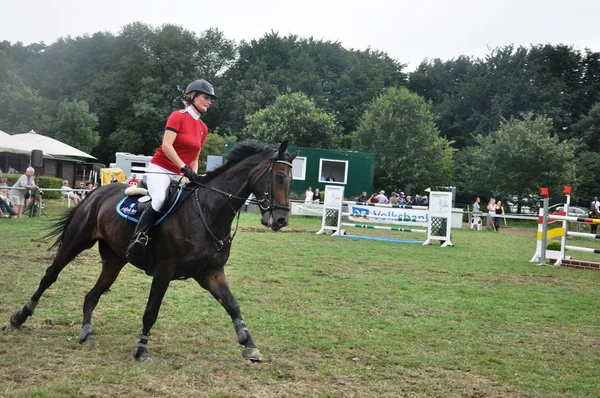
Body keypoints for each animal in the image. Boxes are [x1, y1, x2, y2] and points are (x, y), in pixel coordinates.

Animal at [9, 141, 298, 362]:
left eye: (291, 179)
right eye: (279, 177)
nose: (281, 220)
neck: (207, 212)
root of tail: (95, 193)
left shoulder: (211, 273)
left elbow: (233, 305)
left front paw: (249, 345)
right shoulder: (164, 271)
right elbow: (151, 311)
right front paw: (141, 349)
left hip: (114, 261)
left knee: (92, 295)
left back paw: (86, 333)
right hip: (75, 243)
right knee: (50, 275)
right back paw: (20, 316)